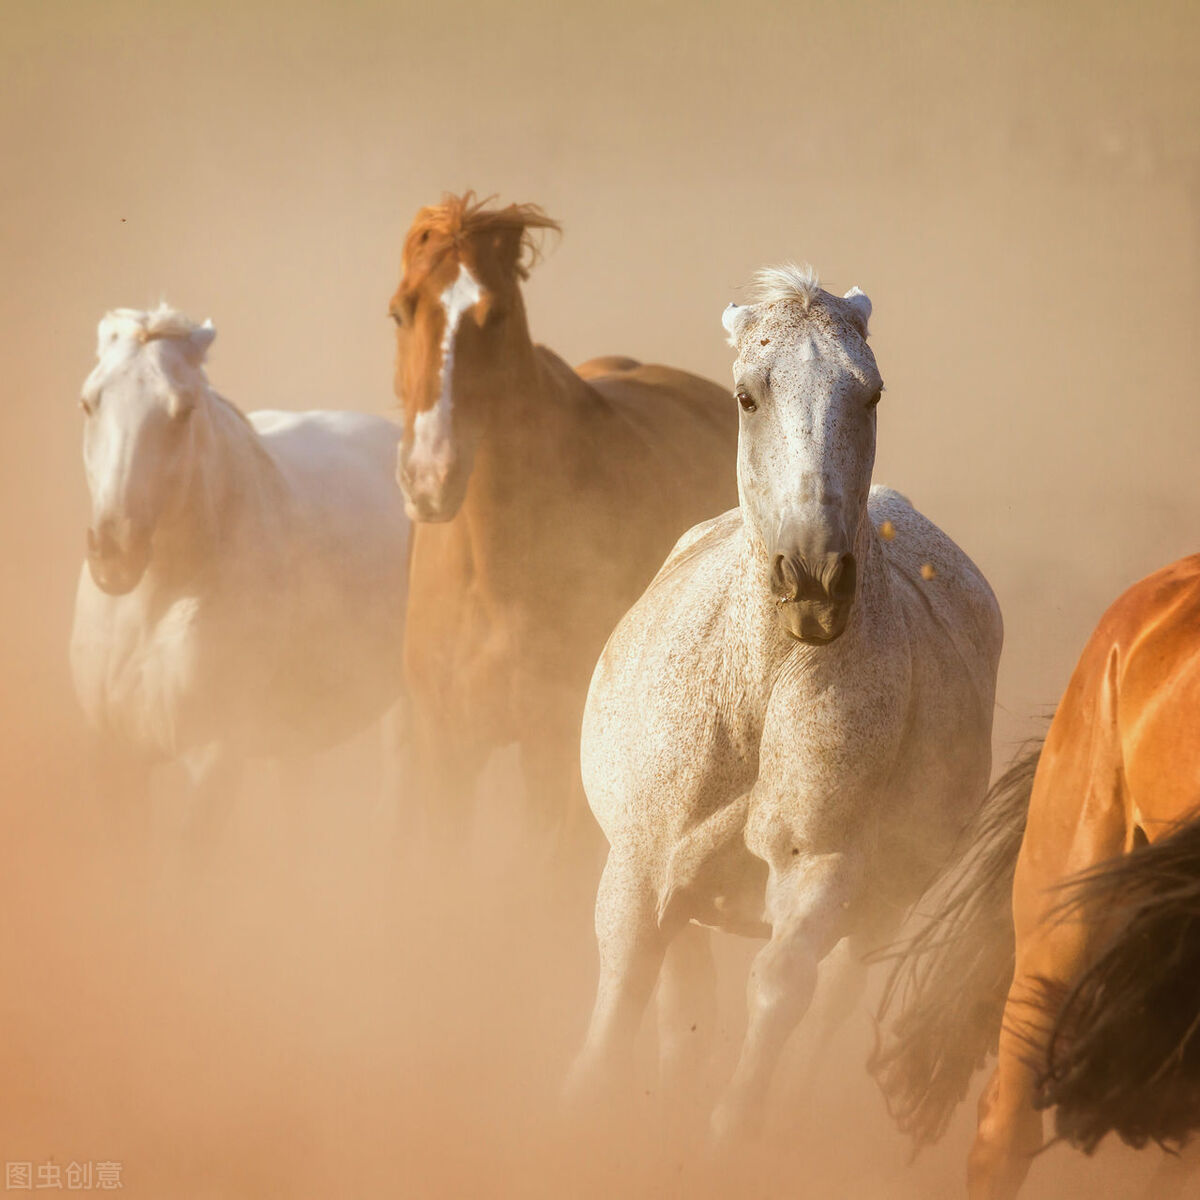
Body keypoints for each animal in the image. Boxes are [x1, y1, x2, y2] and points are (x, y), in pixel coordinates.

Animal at [73, 304, 417, 840]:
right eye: (89, 403)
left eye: (183, 411)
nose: (116, 554)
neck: (151, 607)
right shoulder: (112, 760)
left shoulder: (214, 761)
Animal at [571, 267, 1003, 1137]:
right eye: (747, 395)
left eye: (870, 392)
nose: (813, 578)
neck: (757, 695)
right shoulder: (639, 869)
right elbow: (620, 1011)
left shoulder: (821, 870)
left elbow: (778, 994)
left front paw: (728, 1137)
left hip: (880, 910)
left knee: (827, 999)